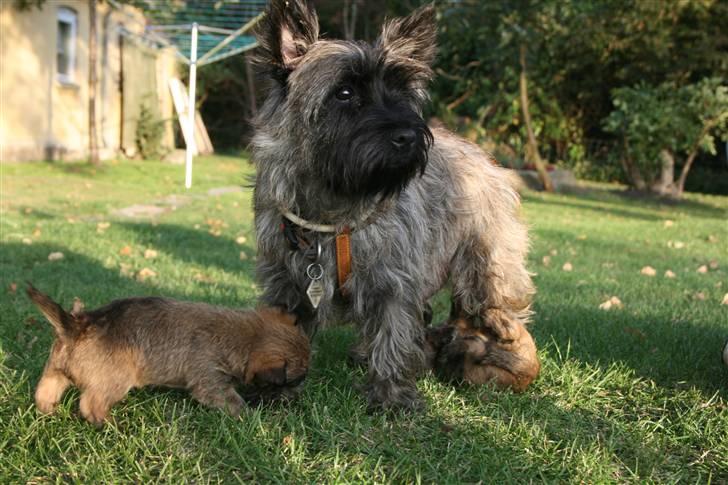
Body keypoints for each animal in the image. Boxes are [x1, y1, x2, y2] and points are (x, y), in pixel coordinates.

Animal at [26, 284, 308, 424]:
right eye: (295, 380)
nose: (299, 396)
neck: (246, 336)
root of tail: (76, 326)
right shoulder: (210, 382)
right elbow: (233, 401)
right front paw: (252, 418)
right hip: (116, 380)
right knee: (90, 404)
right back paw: (108, 424)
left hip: (55, 368)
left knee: (45, 389)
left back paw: (48, 411)